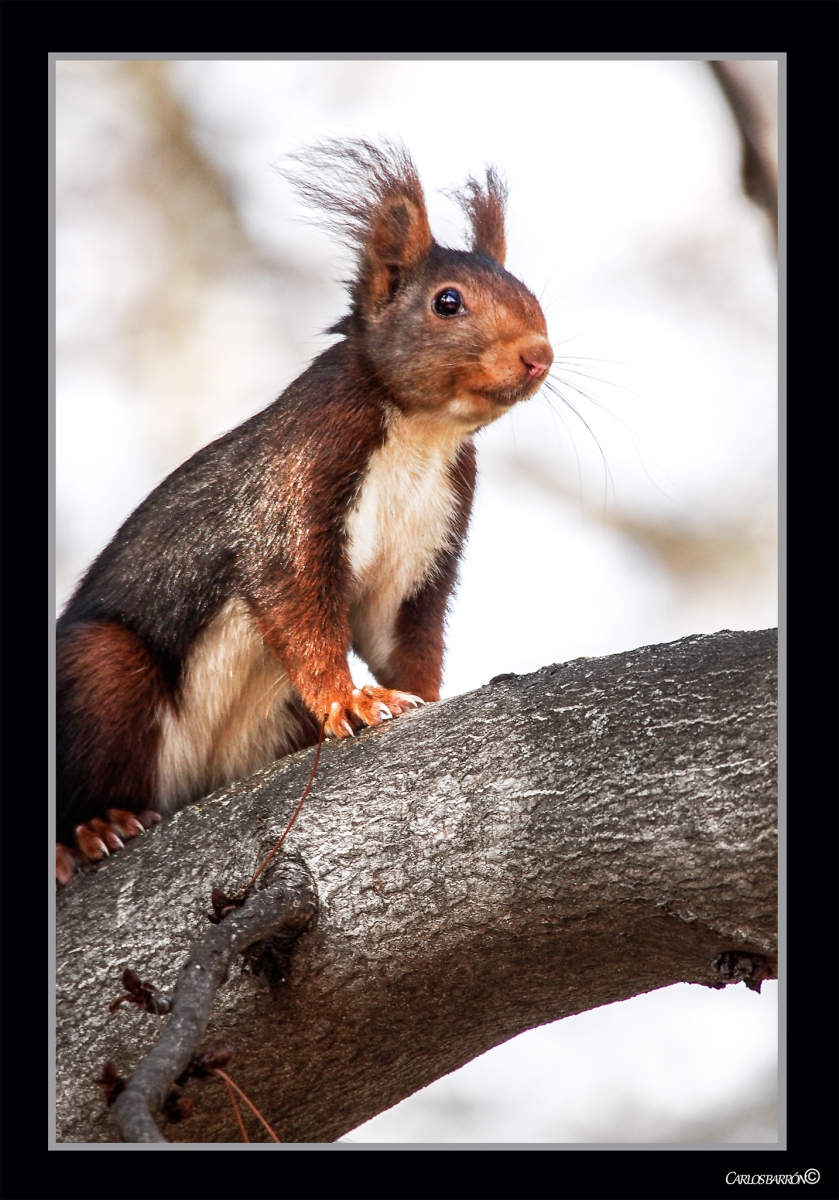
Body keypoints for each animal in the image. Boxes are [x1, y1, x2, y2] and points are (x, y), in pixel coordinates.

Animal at [55, 142, 554, 892]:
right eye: (447, 302)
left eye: (526, 289)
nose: (538, 354)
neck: (420, 431)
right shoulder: (299, 481)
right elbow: (295, 603)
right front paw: (352, 702)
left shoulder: (428, 539)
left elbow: (400, 633)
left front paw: (422, 695)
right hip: (98, 672)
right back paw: (91, 830)